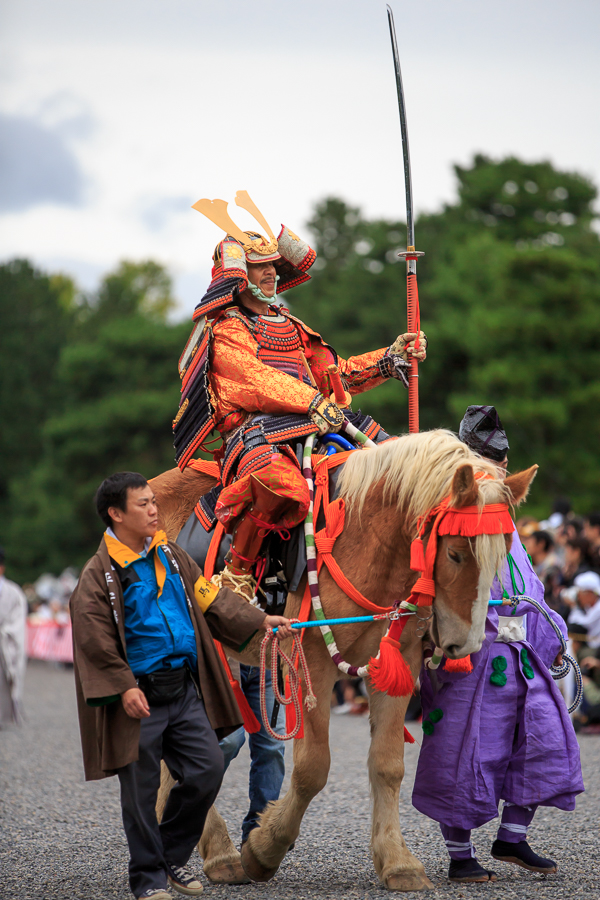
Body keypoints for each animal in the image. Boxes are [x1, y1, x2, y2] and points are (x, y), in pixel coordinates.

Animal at [150, 430, 536, 892]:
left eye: (502, 555)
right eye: (456, 553)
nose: (466, 643)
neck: (369, 541)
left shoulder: (397, 661)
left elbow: (388, 765)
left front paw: (397, 862)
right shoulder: (311, 661)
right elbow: (312, 768)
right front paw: (264, 849)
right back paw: (218, 851)